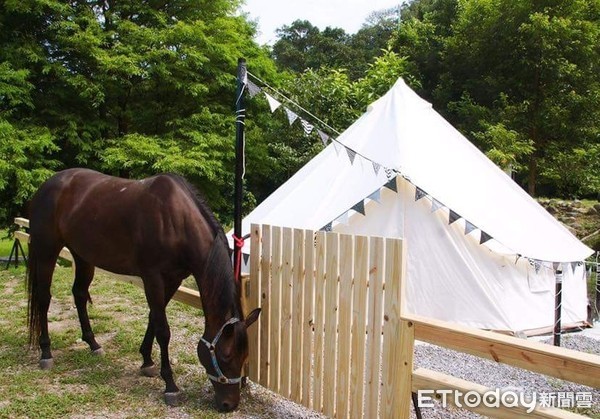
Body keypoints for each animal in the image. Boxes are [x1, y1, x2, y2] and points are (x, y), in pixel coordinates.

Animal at [27, 169, 258, 412]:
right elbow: (163, 330)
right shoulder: (153, 278)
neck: (175, 220)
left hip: (82, 256)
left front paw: (147, 361)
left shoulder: (173, 279)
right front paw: (170, 385)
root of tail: (47, 185)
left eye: (245, 356)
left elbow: (153, 318)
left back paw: (93, 343)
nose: (229, 404)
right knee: (44, 298)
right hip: (46, 252)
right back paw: (46, 353)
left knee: (79, 294)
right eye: (226, 356)